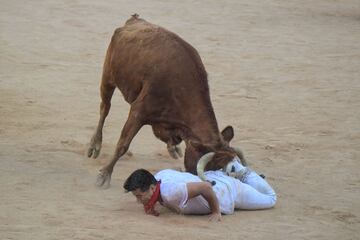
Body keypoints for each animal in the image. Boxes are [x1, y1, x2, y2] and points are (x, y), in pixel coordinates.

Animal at [87, 14, 246, 188]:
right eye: (211, 168)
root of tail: (134, 19)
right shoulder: (138, 112)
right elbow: (122, 144)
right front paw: (104, 175)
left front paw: (174, 147)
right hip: (108, 76)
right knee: (105, 108)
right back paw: (94, 146)